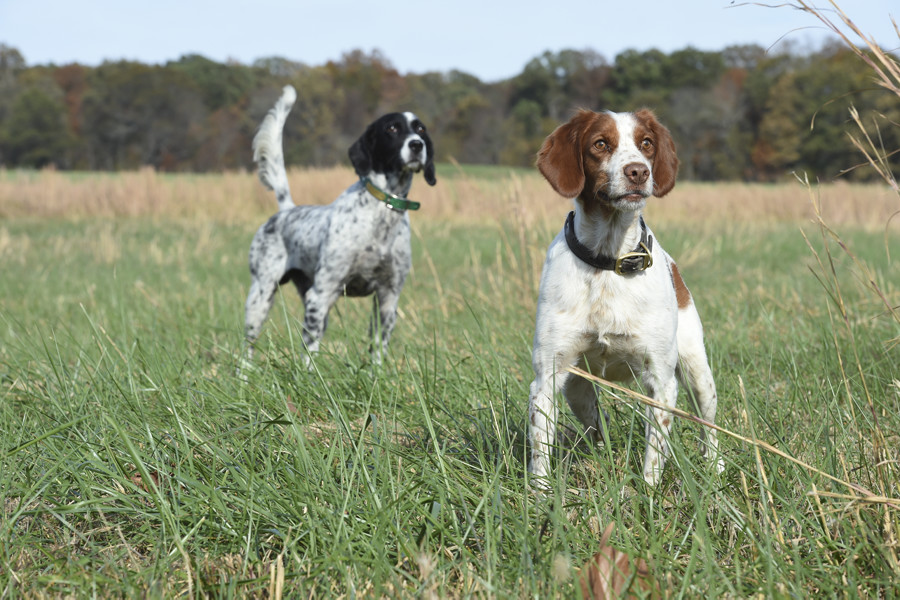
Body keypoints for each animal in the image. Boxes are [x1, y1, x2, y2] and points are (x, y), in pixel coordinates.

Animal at [241, 86, 434, 364]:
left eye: (420, 129)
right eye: (392, 128)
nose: (417, 145)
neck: (381, 214)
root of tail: (287, 210)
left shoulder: (387, 299)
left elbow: (378, 353)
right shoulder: (321, 295)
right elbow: (309, 356)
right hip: (261, 296)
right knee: (247, 349)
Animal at [528, 109, 724, 488]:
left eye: (646, 143)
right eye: (600, 144)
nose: (639, 171)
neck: (608, 260)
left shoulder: (661, 381)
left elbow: (654, 456)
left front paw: (647, 495)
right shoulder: (547, 377)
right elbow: (540, 453)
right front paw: (540, 497)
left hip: (698, 373)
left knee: (709, 427)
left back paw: (716, 469)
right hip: (577, 388)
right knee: (596, 425)